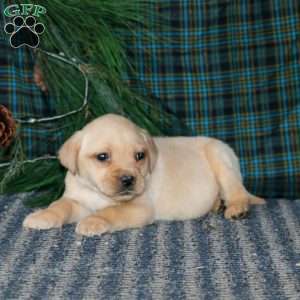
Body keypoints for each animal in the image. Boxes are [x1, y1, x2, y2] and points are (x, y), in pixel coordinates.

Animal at [24, 113, 266, 236]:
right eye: (102, 157)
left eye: (139, 156)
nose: (128, 179)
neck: (99, 194)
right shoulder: (77, 200)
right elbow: (59, 206)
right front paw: (42, 216)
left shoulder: (138, 207)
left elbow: (111, 212)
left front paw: (93, 222)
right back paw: (216, 204)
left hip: (221, 158)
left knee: (236, 191)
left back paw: (236, 208)